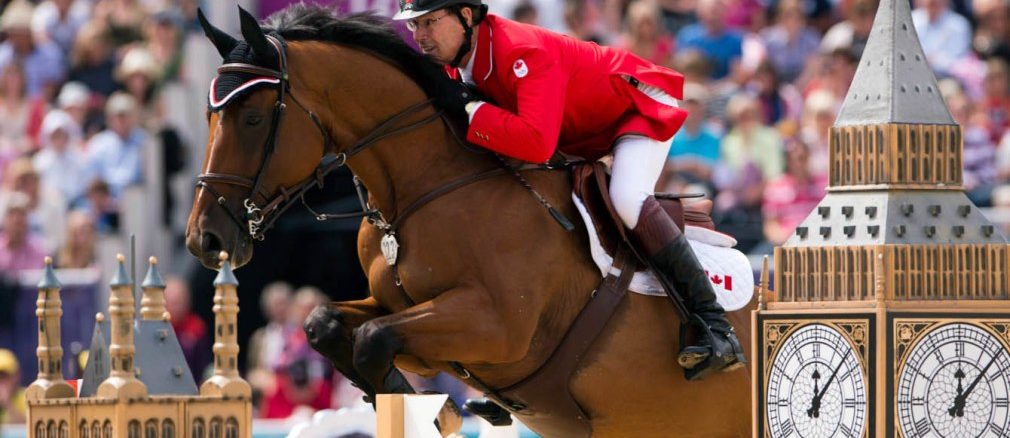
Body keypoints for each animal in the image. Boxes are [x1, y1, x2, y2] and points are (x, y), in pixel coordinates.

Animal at [185, 5, 754, 437]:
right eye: (209, 117)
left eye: (253, 118)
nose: (203, 239)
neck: (422, 186)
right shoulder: (404, 315)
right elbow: (325, 322)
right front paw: (422, 403)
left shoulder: (495, 327)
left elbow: (374, 339)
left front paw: (439, 412)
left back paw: (715, 340)